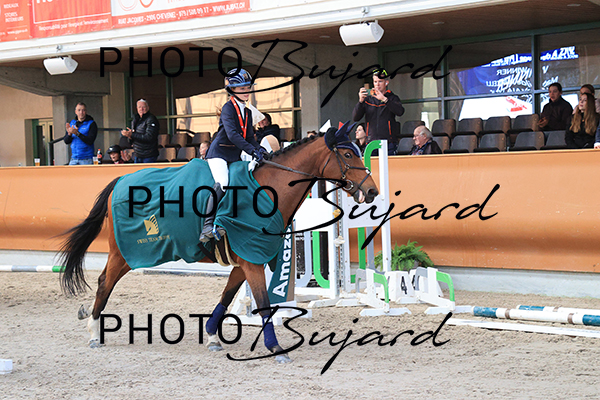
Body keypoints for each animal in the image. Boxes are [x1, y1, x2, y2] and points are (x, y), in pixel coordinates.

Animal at [58, 124, 379, 363]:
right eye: (347, 153)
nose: (372, 191)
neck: (267, 191)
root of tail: (120, 180)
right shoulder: (251, 261)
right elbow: (263, 304)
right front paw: (275, 348)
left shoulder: (245, 260)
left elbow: (226, 297)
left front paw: (212, 336)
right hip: (123, 253)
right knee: (104, 282)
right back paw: (93, 330)